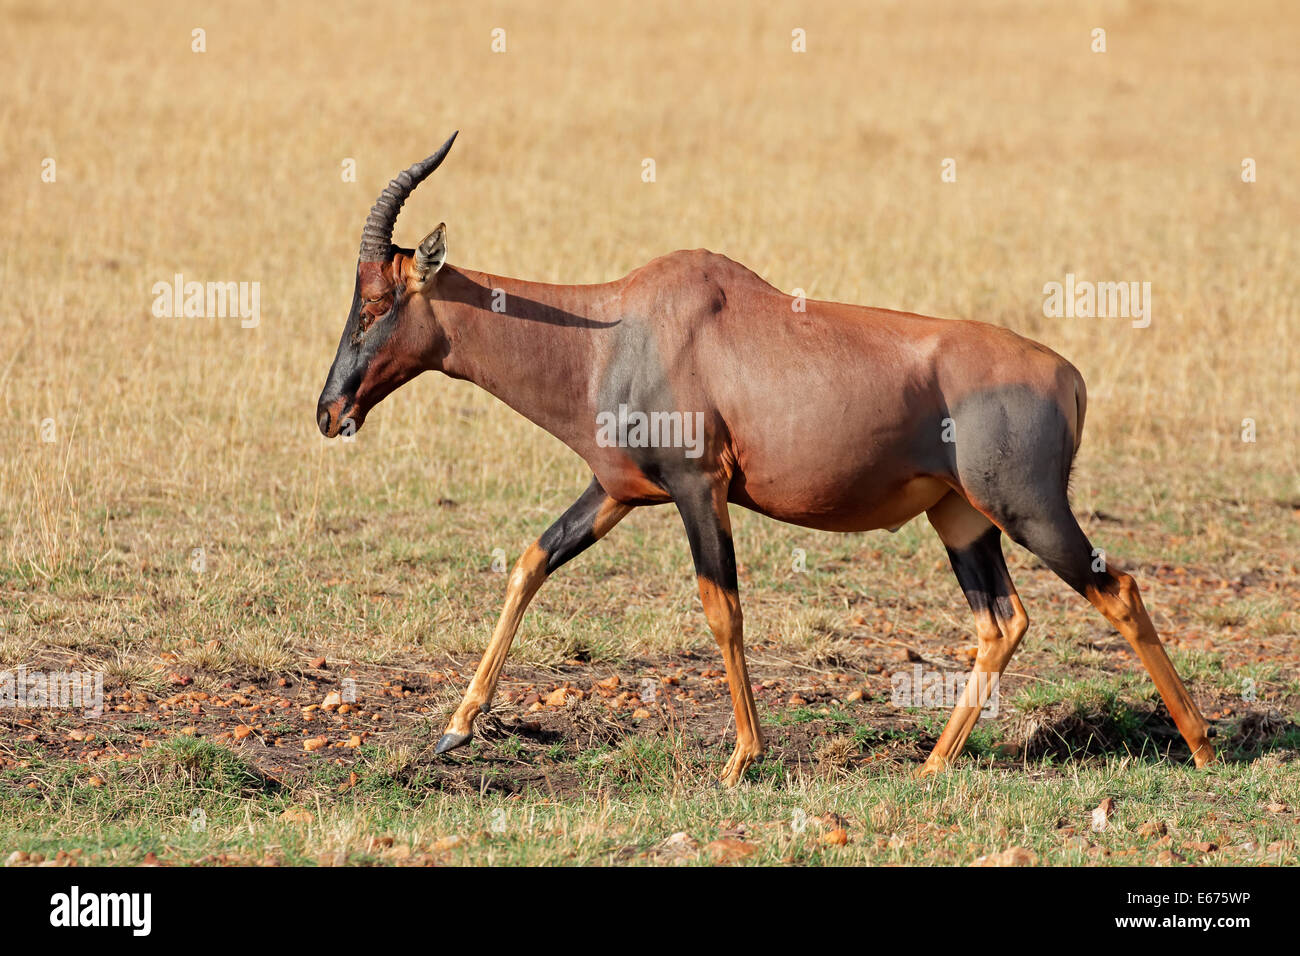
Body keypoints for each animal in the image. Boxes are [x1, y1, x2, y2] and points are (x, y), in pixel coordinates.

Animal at [319, 136, 1211, 790]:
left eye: (376, 303)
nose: (330, 412)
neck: (618, 326)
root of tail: (1068, 375)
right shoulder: (615, 491)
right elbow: (531, 562)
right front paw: (454, 729)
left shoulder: (697, 488)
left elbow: (722, 609)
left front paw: (741, 760)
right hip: (961, 519)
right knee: (1002, 621)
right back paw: (931, 764)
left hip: (1030, 510)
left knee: (1117, 590)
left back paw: (1201, 744)